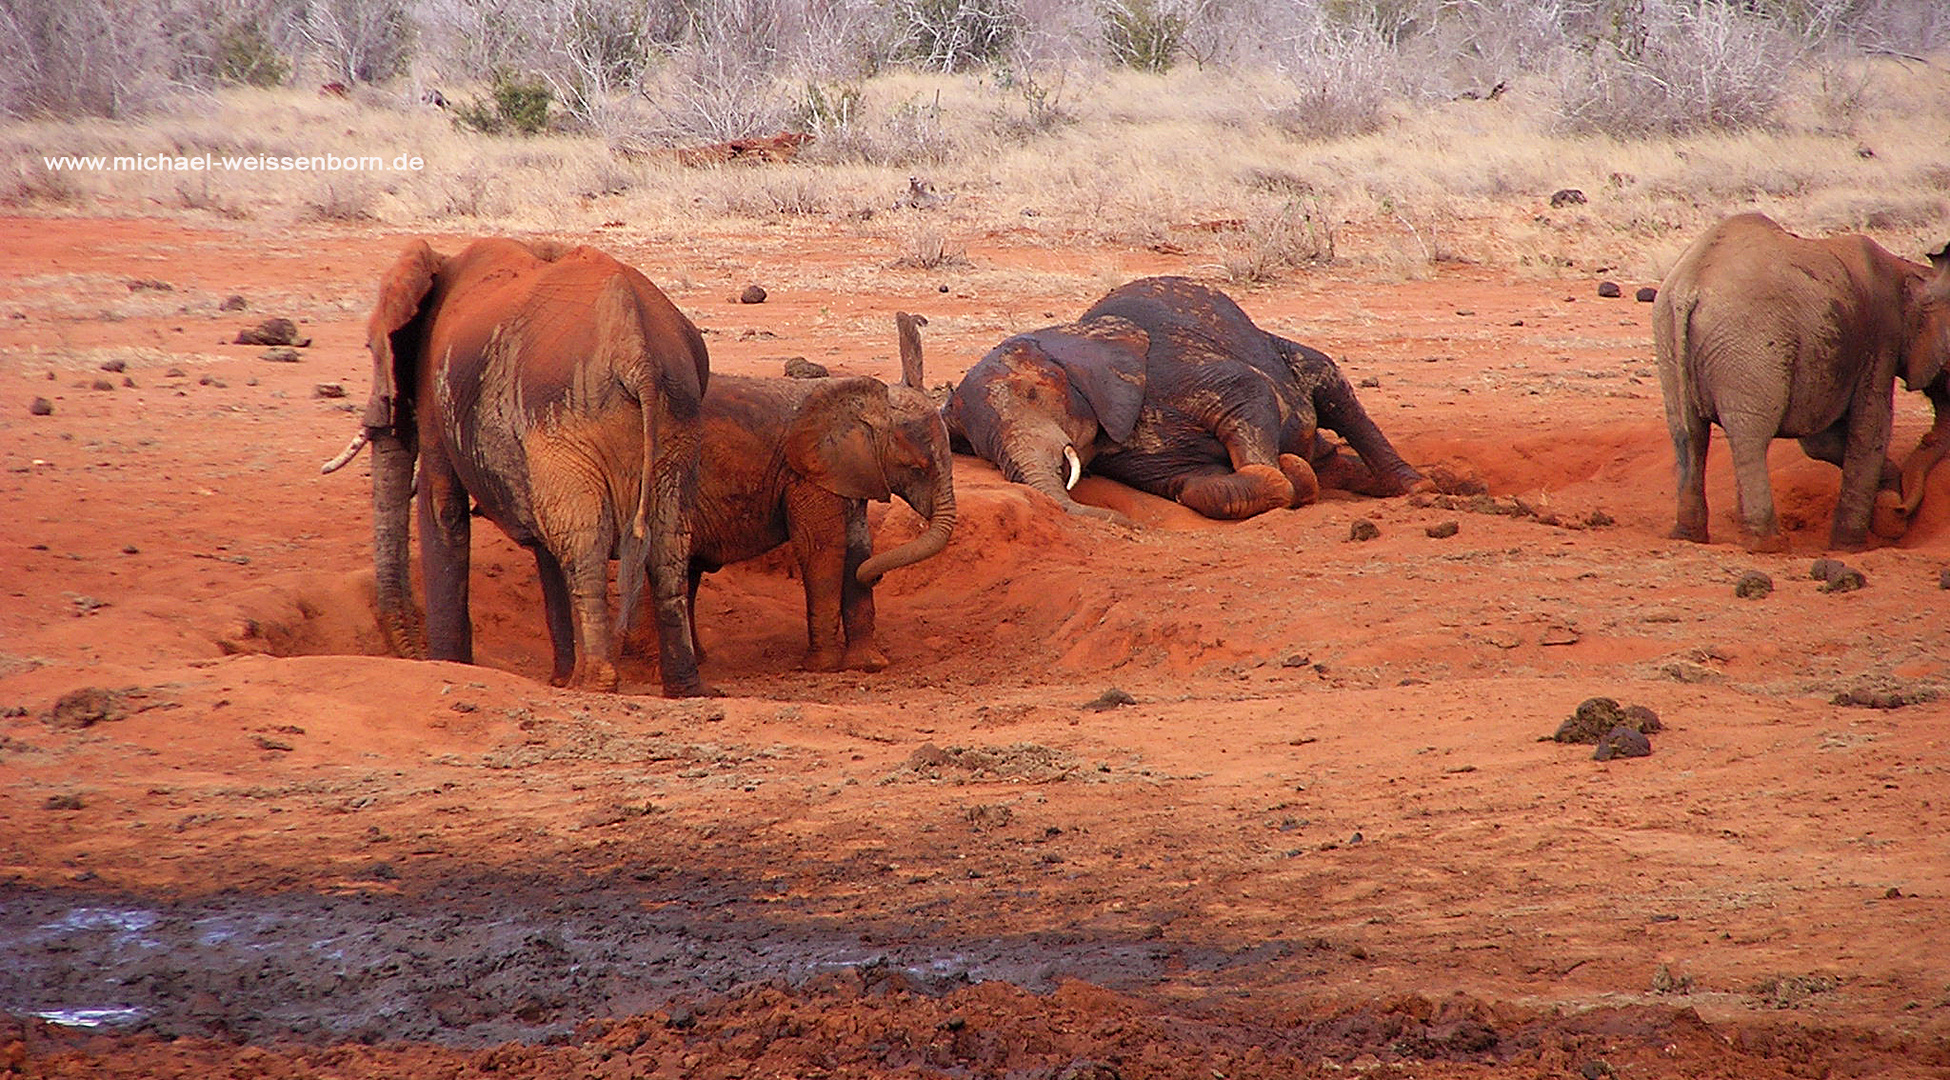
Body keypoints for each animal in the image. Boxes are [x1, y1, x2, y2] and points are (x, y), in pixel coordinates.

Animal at [354, 235, 713, 694]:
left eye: (371, 348)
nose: (413, 655)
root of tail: (637, 353)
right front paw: (558, 678)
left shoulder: (436, 390)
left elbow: (442, 506)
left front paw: (450, 665)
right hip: (677, 416)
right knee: (668, 544)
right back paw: (683, 689)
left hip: (567, 417)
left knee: (584, 543)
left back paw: (595, 683)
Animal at [678, 311, 959, 666]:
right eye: (917, 469)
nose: (877, 578)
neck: (865, 403)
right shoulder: (806, 473)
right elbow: (822, 548)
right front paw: (823, 666)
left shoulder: (849, 469)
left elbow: (857, 548)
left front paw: (868, 665)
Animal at [939, 272, 1419, 518]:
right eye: (977, 448)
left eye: (1035, 392)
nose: (1119, 522)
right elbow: (1195, 488)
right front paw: (1294, 476)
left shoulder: (1172, 371)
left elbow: (1249, 392)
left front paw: (1288, 470)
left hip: (1283, 349)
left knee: (1336, 394)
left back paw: (1416, 486)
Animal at [1653, 212, 1950, 545]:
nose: (1900, 511)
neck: (1911, 271)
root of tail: (1689, 287)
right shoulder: (1881, 338)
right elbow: (1871, 427)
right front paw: (1851, 545)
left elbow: (1820, 441)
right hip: (1748, 344)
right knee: (1750, 435)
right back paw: (1767, 544)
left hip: (1668, 334)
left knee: (1689, 434)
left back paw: (1688, 536)